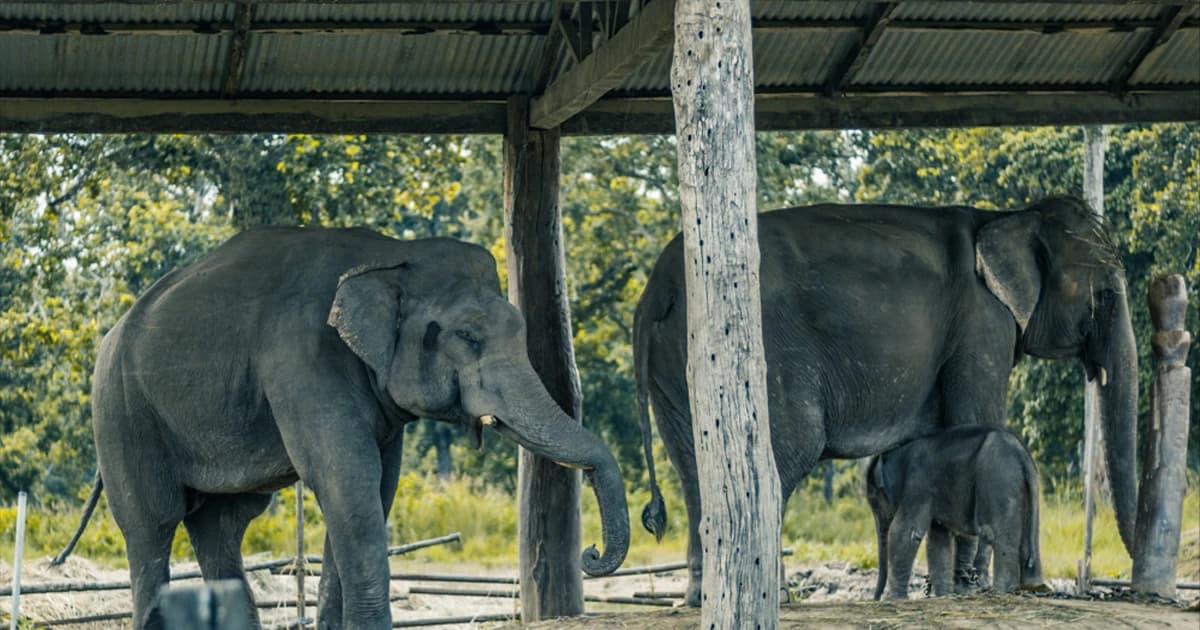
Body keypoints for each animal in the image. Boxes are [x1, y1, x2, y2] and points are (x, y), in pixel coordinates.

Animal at [56, 227, 629, 629]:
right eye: (468, 337)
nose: (591, 554)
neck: (391, 256)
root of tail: (112, 331)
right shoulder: (302, 358)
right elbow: (346, 478)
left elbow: (375, 486)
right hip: (121, 412)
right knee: (152, 524)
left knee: (222, 524)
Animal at [865, 426, 1044, 599]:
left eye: (875, 499)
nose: (876, 598)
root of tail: (1022, 455)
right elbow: (938, 540)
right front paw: (944, 595)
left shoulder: (918, 486)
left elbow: (906, 532)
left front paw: (895, 599)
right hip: (1021, 488)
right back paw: (1031, 587)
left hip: (999, 480)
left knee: (998, 536)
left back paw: (1001, 591)